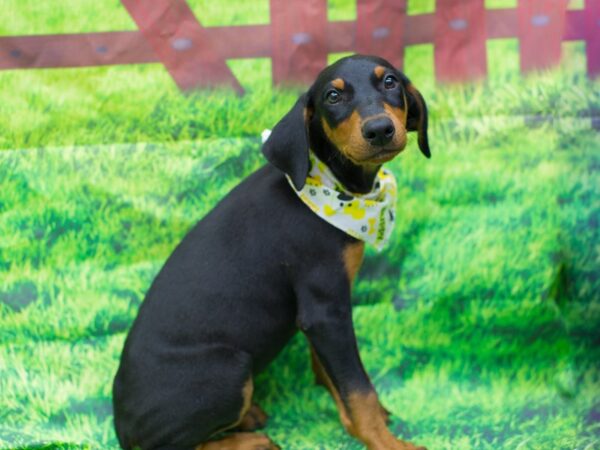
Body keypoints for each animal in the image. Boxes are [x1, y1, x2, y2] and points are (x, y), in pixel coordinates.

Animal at [112, 55, 428, 450]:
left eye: (389, 82)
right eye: (333, 96)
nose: (380, 130)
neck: (330, 187)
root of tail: (122, 426)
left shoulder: (319, 314)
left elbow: (333, 375)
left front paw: (353, 422)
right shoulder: (325, 308)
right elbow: (358, 388)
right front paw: (386, 441)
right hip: (230, 371)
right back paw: (251, 438)